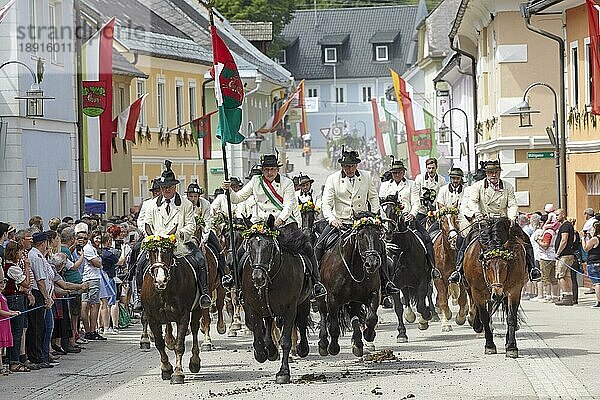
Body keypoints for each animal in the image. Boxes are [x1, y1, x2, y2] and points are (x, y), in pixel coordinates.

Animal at [141, 227, 204, 382]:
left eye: (168, 251)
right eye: (151, 251)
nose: (160, 280)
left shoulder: (183, 316)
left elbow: (179, 345)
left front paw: (178, 372)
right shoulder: (152, 317)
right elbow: (159, 343)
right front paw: (166, 368)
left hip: (198, 308)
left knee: (194, 329)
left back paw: (195, 361)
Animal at [241, 214, 312, 382]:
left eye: (269, 245)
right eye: (250, 245)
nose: (258, 277)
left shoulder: (290, 309)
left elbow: (285, 340)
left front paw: (283, 372)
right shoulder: (253, 308)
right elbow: (258, 336)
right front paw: (261, 353)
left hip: (303, 303)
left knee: (302, 322)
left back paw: (302, 348)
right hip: (267, 307)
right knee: (268, 323)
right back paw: (271, 351)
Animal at [318, 211, 384, 358]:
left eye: (378, 233)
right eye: (360, 235)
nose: (372, 264)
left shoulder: (373, 293)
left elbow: (371, 318)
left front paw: (369, 334)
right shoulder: (332, 298)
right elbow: (334, 325)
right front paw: (333, 347)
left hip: (354, 300)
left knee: (354, 316)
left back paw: (358, 344)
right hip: (321, 297)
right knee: (324, 315)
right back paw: (323, 344)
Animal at [382, 195, 434, 342]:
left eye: (394, 211)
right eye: (380, 212)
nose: (387, 233)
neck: (403, 250)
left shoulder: (422, 280)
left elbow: (421, 305)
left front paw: (426, 317)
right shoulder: (394, 285)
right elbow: (398, 308)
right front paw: (401, 333)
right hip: (405, 284)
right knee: (406, 298)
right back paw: (410, 315)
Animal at [462, 217, 528, 358]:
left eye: (506, 265)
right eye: (487, 265)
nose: (497, 293)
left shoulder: (514, 291)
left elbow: (511, 317)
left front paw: (512, 347)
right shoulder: (477, 292)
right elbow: (484, 317)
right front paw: (489, 345)